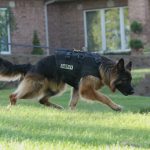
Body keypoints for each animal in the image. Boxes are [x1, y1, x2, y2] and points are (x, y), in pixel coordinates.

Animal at [0, 49, 134, 110]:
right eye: (125, 80)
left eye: (130, 79)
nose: (133, 92)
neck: (100, 67)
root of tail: (32, 65)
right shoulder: (86, 90)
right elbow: (104, 97)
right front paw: (115, 107)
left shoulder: (77, 88)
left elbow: (73, 104)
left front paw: (72, 113)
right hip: (35, 87)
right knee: (13, 96)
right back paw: (11, 108)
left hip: (57, 88)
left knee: (42, 100)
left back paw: (57, 108)